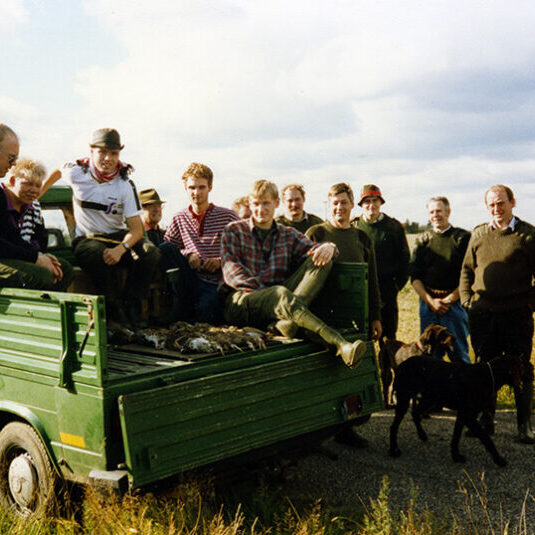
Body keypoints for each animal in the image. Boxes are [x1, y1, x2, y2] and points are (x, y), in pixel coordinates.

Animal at [390, 356, 524, 468]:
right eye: (520, 367)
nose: (525, 381)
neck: (487, 376)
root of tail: (401, 365)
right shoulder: (469, 416)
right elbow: (486, 438)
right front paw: (498, 460)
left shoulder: (463, 415)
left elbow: (456, 436)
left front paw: (456, 456)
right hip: (405, 399)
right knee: (394, 426)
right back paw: (394, 450)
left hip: (429, 399)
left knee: (415, 413)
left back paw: (422, 435)